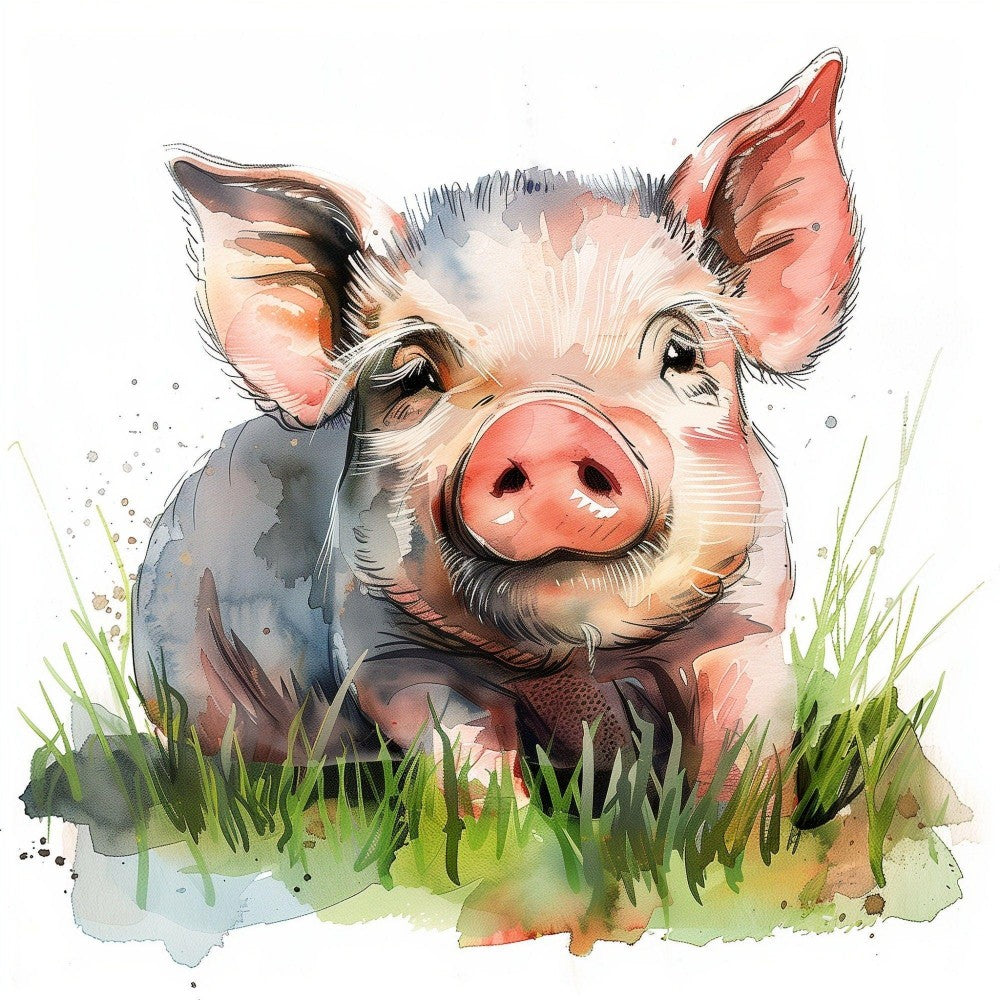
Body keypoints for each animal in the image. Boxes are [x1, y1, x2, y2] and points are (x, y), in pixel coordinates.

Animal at [133, 49, 857, 797]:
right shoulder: (390, 655)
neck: (576, 666)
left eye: (680, 352)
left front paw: (739, 825)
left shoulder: (748, 621)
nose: (546, 426)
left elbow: (744, 749)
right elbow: (468, 769)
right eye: (416, 375)